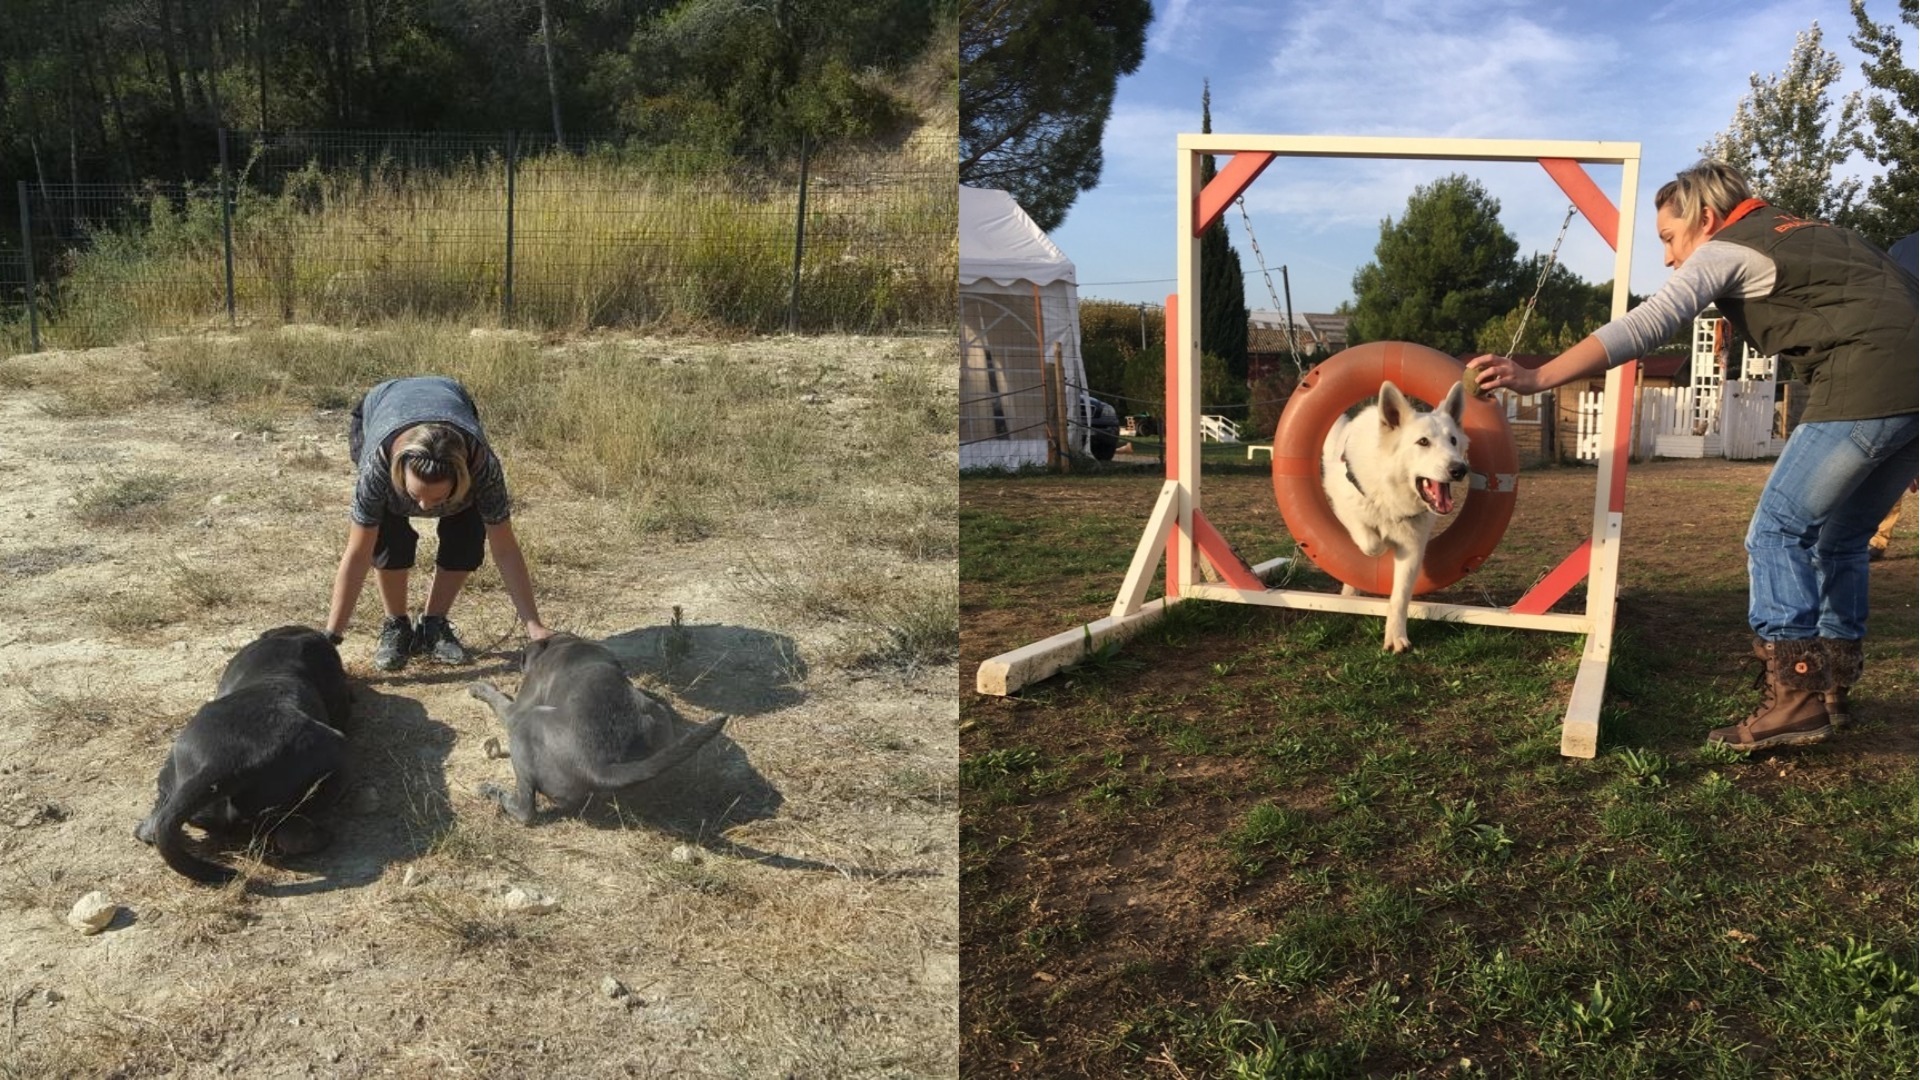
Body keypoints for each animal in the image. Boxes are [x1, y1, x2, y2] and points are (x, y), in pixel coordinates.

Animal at [470, 626, 725, 818]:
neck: (564, 643)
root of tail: (597, 765)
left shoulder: (517, 709)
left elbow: (497, 697)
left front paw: (479, 687)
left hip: (528, 723)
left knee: (526, 810)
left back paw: (492, 792)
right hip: (657, 717)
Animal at [1320, 378, 1466, 645]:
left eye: (1453, 440)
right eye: (1423, 442)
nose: (1460, 469)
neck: (1392, 496)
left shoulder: (1412, 549)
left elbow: (1399, 597)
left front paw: (1396, 638)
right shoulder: (1346, 506)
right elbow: (1371, 543)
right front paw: (1380, 543)